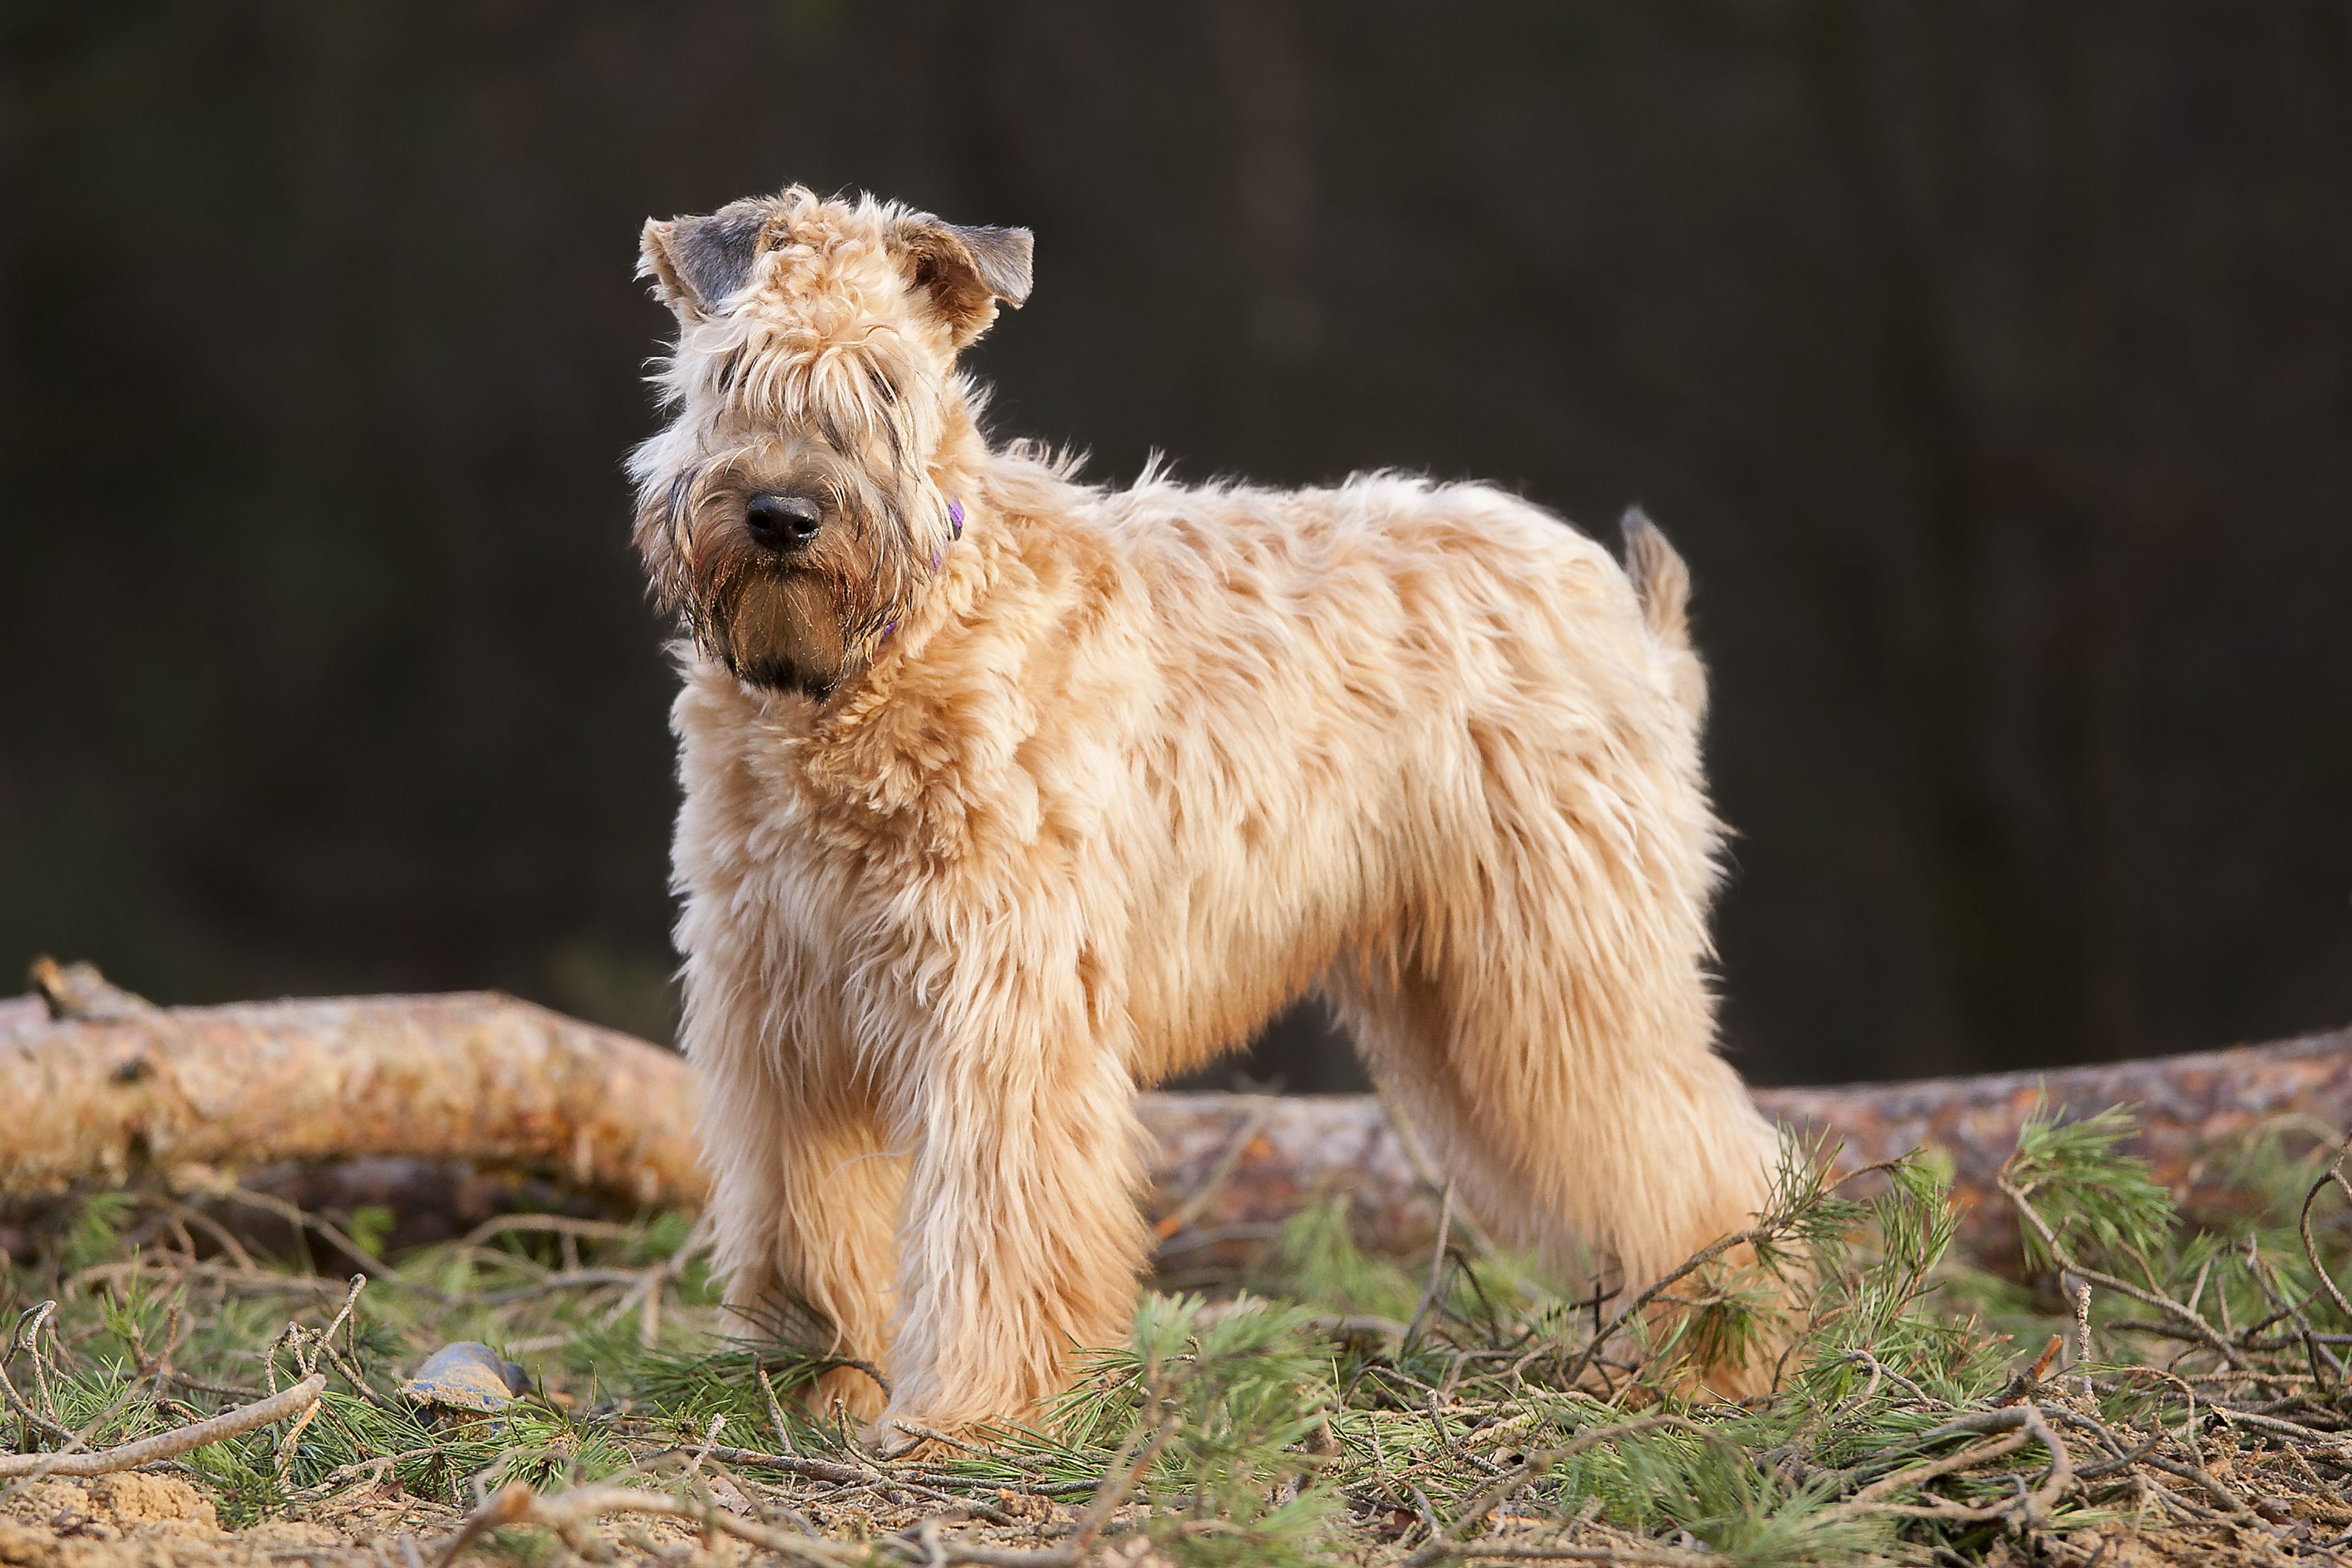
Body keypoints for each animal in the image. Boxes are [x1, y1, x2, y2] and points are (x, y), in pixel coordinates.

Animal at [630, 185, 1778, 1439]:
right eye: (730, 371)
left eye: (884, 382)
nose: (783, 514)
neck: (869, 673)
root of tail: (1618, 605)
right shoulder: (782, 1009)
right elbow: (803, 1224)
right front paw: (809, 1384)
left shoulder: (998, 1003)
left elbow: (995, 1220)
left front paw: (973, 1413)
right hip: (1469, 1000)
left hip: (1563, 967)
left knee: (1707, 1152)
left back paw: (1728, 1352)